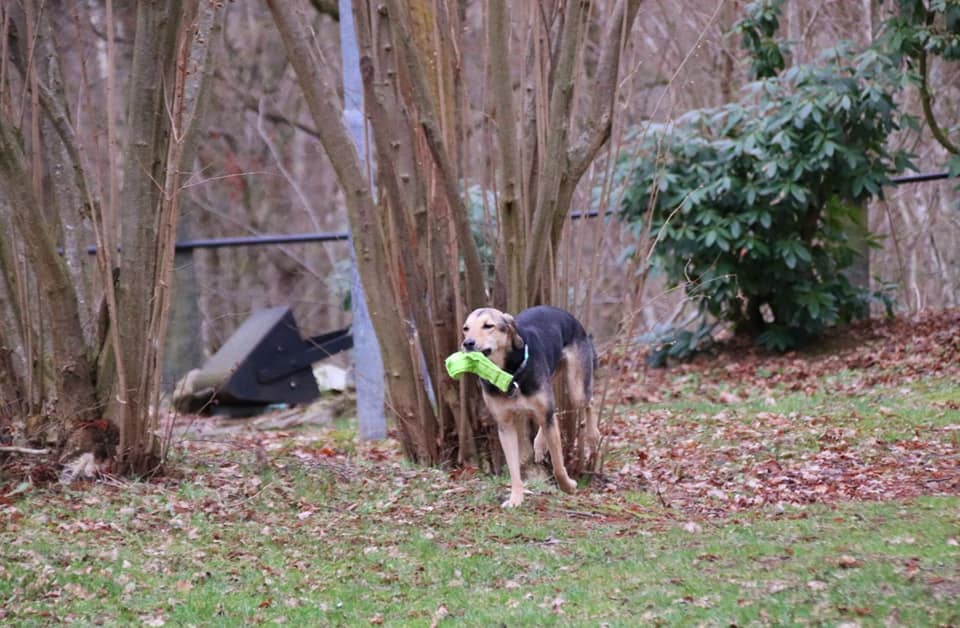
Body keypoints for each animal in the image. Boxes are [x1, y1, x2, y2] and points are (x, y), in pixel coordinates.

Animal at [461, 305, 599, 508]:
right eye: (466, 328)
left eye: (488, 326)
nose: (467, 343)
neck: (509, 372)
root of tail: (566, 314)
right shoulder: (505, 425)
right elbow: (513, 468)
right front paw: (515, 498)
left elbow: (558, 466)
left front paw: (568, 486)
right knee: (553, 414)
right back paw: (540, 444)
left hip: (577, 388)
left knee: (588, 402)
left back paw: (593, 435)